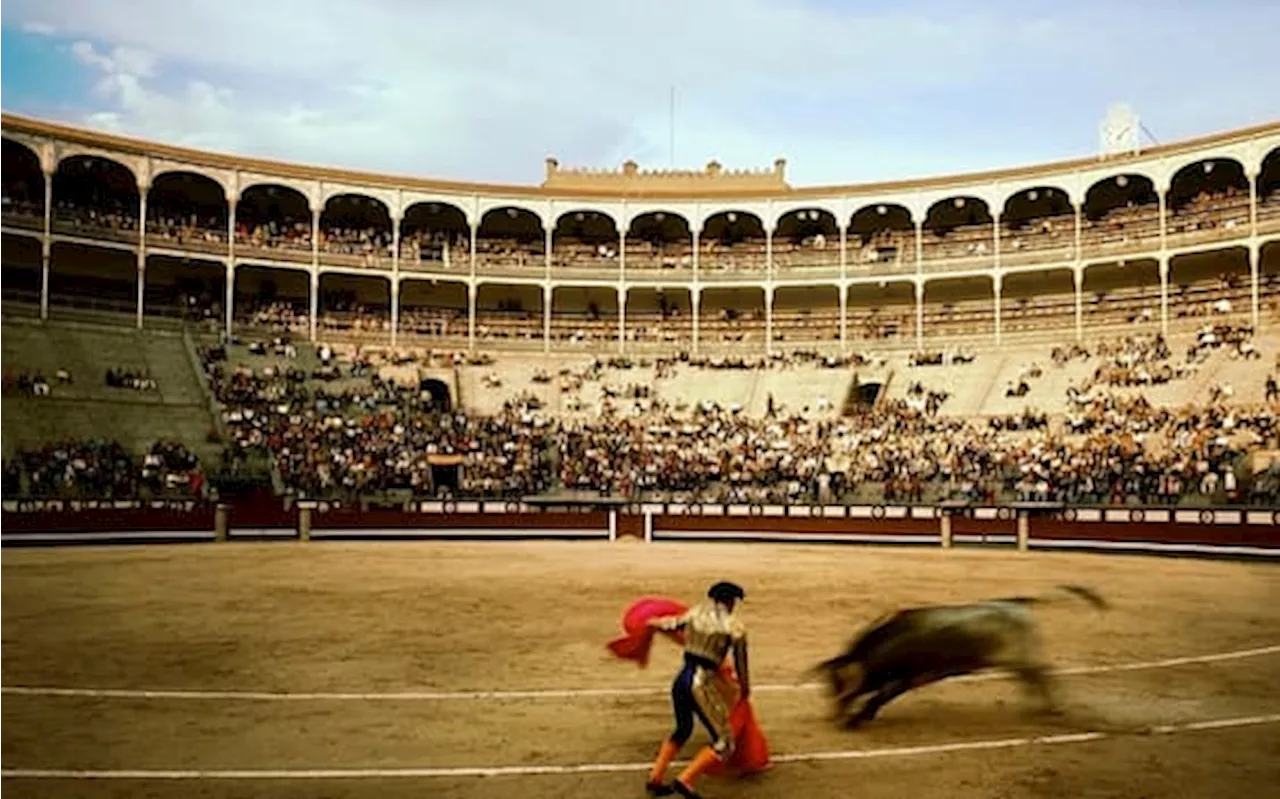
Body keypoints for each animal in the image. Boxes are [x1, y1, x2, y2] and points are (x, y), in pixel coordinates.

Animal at [814, 583, 1105, 727]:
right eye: (829, 686)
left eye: (841, 686)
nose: (832, 716)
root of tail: (1018, 603)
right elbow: (877, 698)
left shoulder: (906, 679)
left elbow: (877, 698)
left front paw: (855, 720)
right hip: (1017, 660)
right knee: (1033, 678)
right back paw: (1038, 708)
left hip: (1023, 656)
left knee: (1042, 675)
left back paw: (1052, 709)